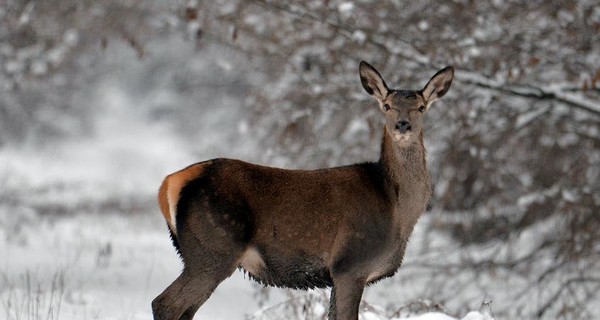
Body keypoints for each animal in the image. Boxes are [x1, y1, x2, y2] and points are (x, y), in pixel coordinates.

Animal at [152, 60, 452, 320]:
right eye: (387, 105)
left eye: (421, 107)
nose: (403, 125)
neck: (397, 211)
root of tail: (170, 183)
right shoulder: (350, 264)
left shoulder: (339, 274)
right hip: (214, 247)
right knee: (165, 303)